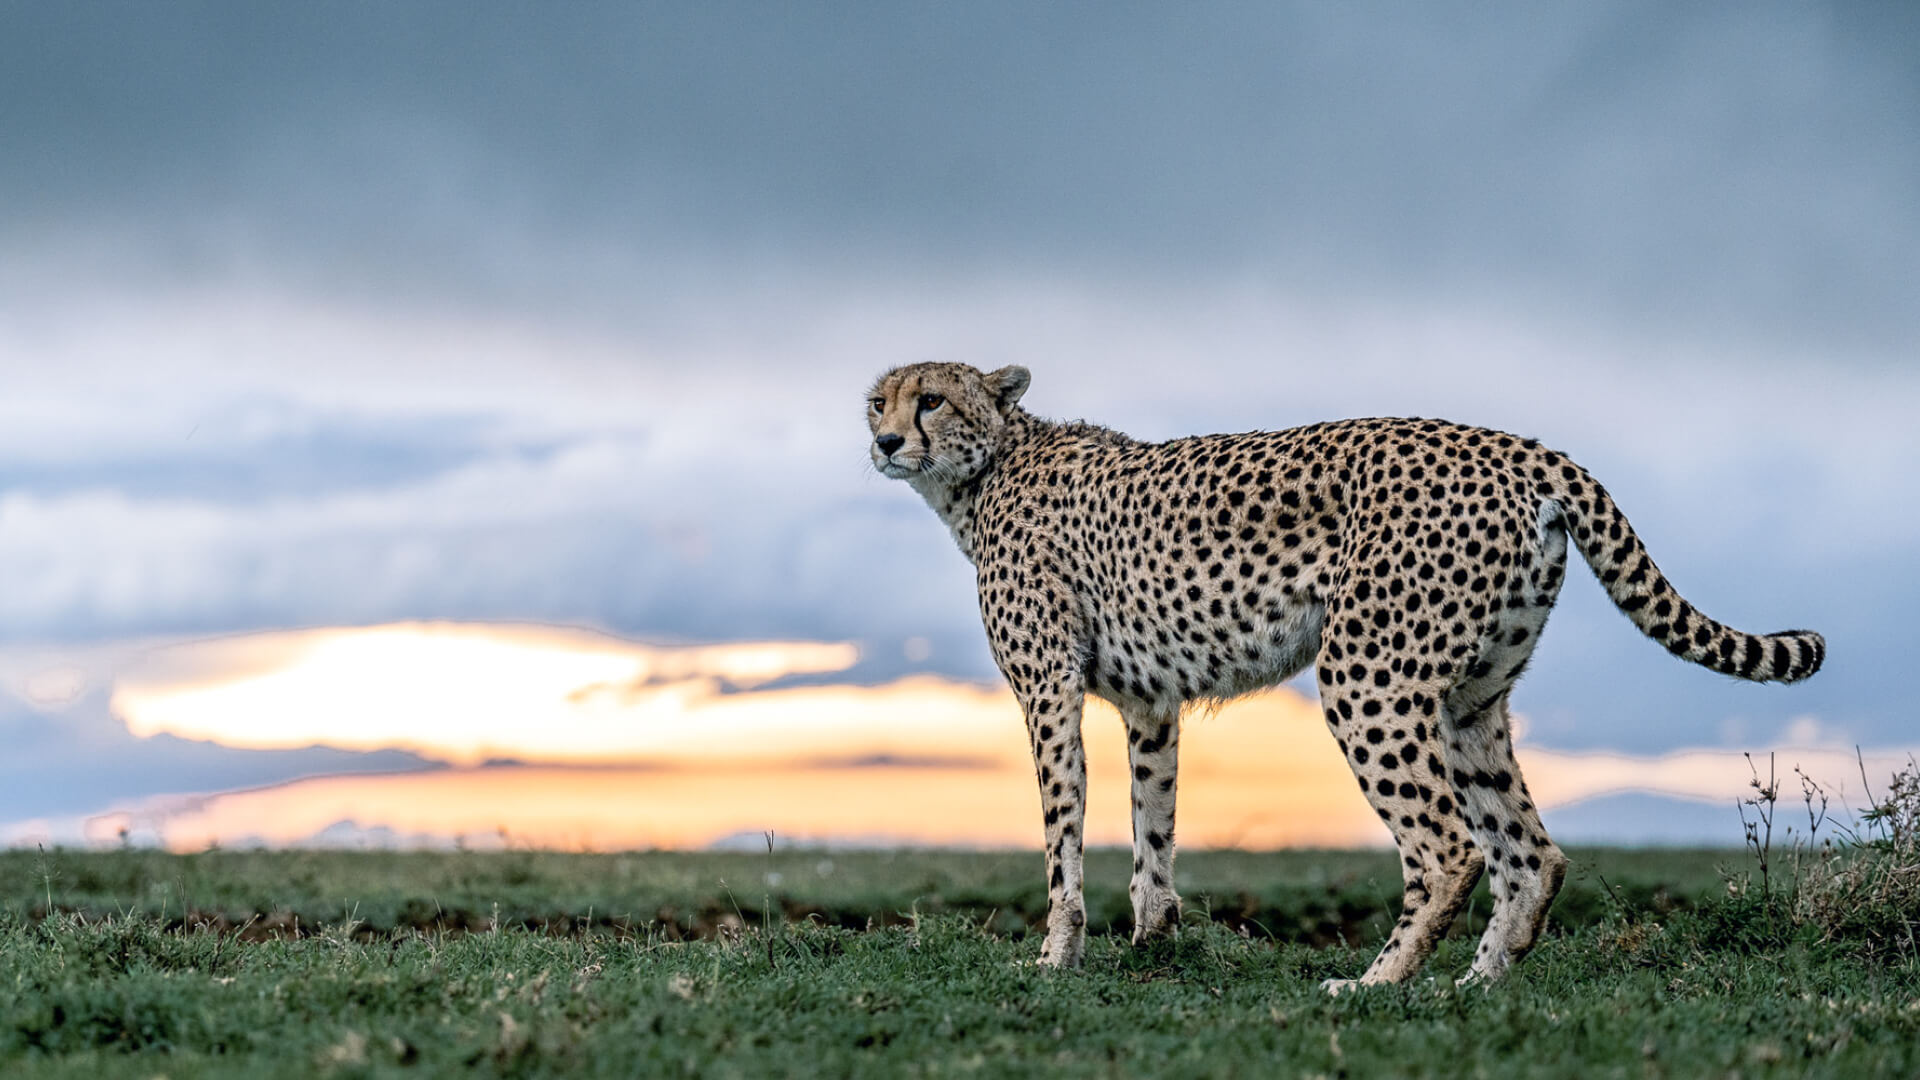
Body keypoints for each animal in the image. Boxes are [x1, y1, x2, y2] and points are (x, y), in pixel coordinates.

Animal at [865, 361, 1824, 989]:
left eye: (932, 399)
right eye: (879, 399)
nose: (882, 439)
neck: (986, 470)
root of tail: (1516, 446)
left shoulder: (1047, 693)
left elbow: (1063, 831)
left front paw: (1056, 957)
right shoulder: (1151, 703)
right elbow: (1153, 825)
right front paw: (1154, 943)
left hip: (1367, 677)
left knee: (1449, 850)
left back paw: (1377, 984)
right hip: (1471, 698)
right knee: (1531, 853)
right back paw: (1478, 982)